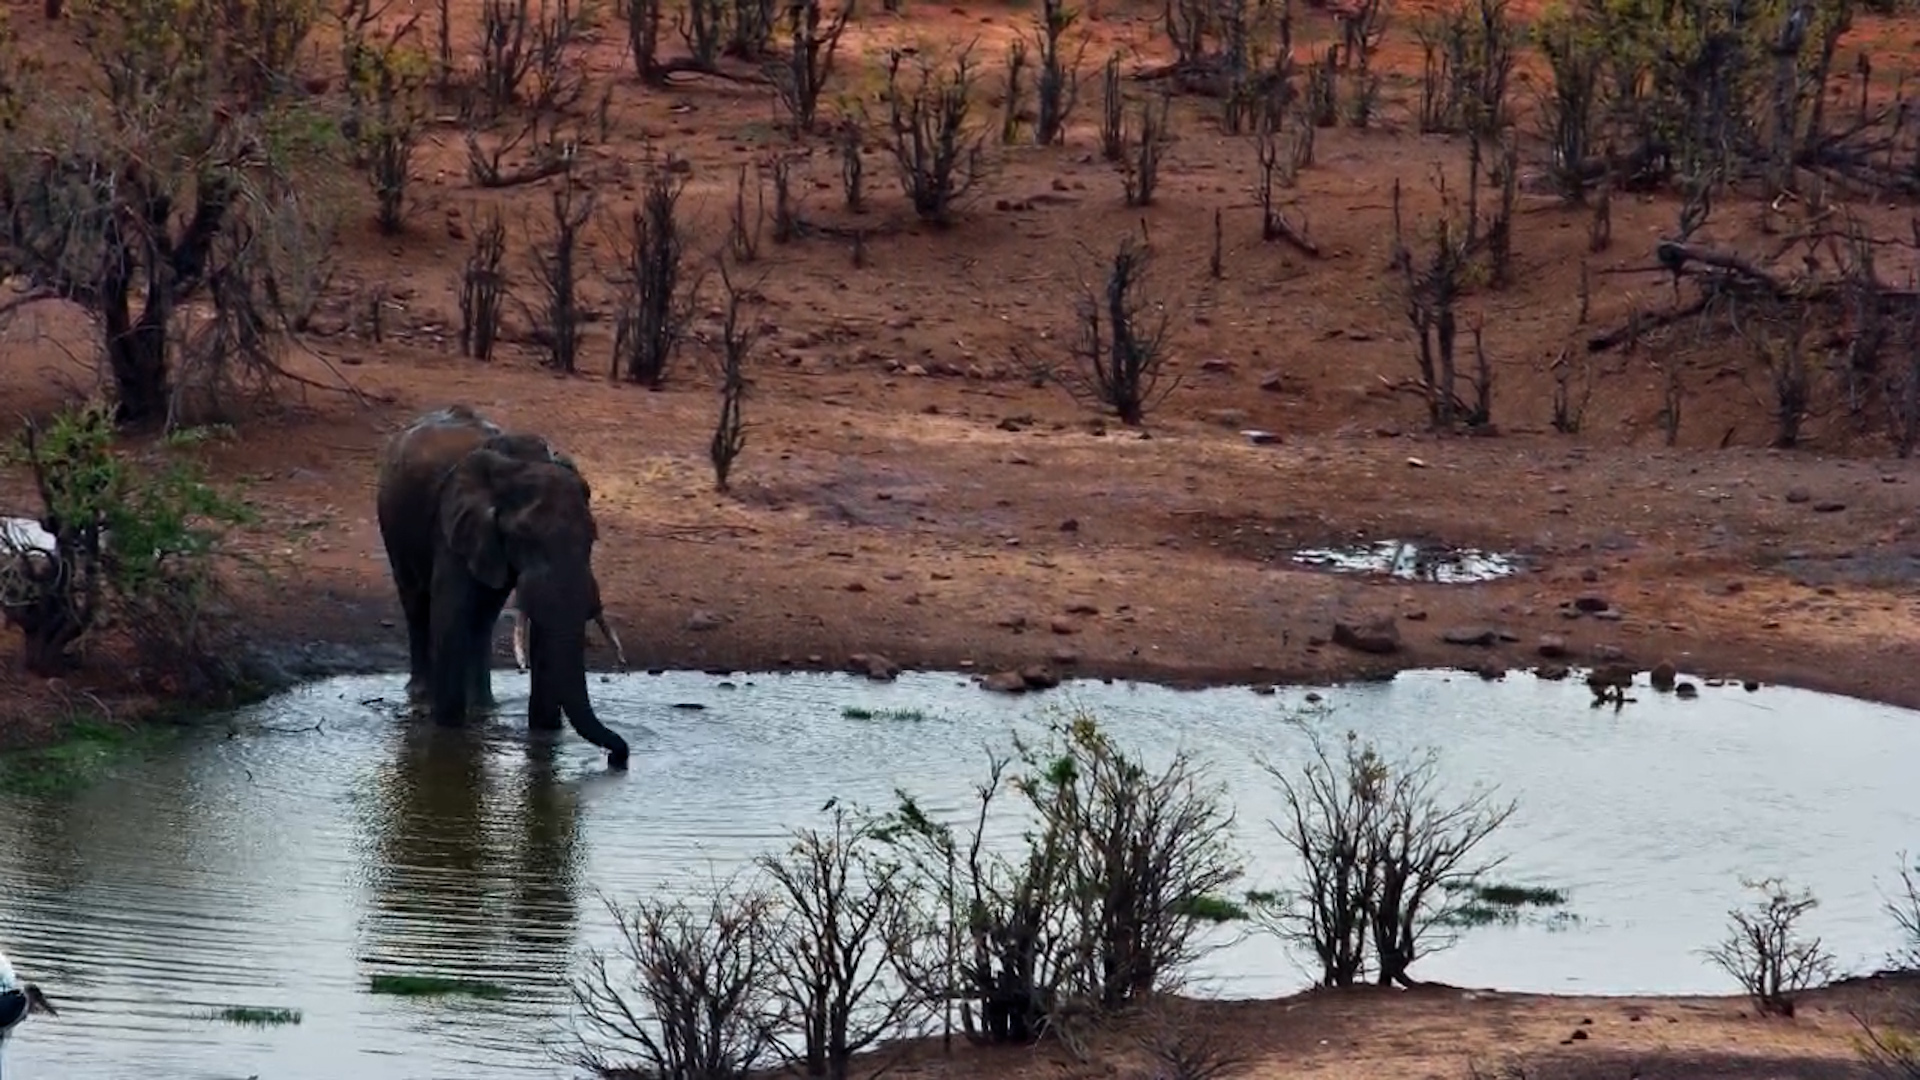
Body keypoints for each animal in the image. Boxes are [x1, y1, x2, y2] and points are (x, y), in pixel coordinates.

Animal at [375, 405, 629, 769]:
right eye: (525, 537)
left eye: (592, 538)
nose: (616, 757)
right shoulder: (453, 524)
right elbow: (451, 614)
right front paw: (448, 734)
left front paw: (545, 736)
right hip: (392, 524)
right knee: (416, 604)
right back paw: (421, 698)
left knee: (484, 617)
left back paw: (484, 705)